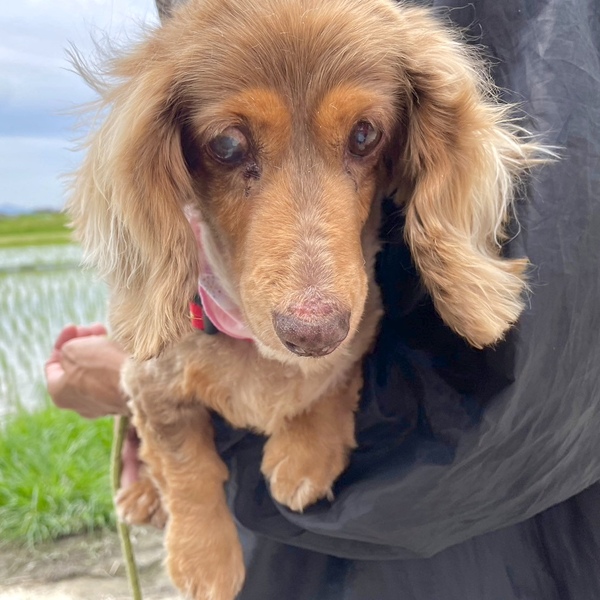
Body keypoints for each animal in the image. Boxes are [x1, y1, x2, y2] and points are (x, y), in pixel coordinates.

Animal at [68, 0, 546, 598]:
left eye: (365, 135)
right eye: (227, 145)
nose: (313, 333)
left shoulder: (362, 323)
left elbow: (336, 377)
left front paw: (306, 454)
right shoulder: (150, 386)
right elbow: (183, 461)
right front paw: (204, 557)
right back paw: (140, 495)